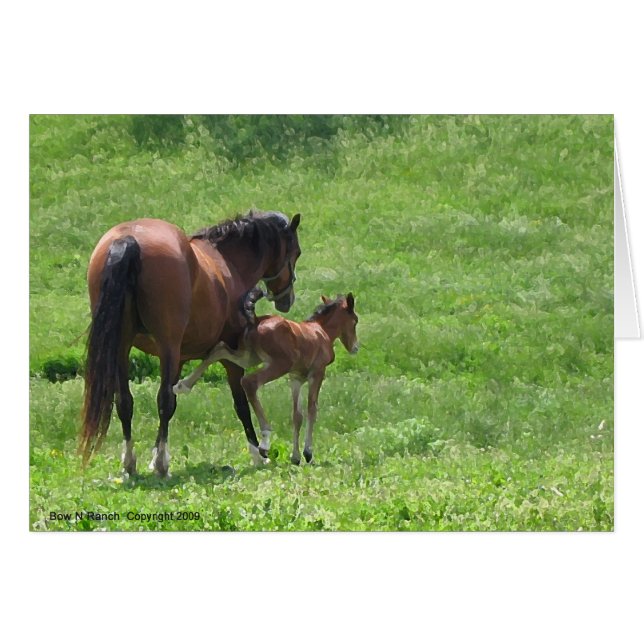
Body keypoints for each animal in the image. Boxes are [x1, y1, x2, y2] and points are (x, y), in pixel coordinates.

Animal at [80, 210, 302, 477]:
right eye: (296, 252)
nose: (287, 299)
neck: (227, 262)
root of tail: (128, 239)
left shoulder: (178, 358)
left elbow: (172, 401)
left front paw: (153, 456)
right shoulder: (230, 356)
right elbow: (240, 404)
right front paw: (257, 453)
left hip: (122, 347)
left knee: (125, 401)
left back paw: (130, 464)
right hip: (166, 345)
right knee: (162, 400)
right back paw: (162, 466)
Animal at [173, 292, 359, 465]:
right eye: (355, 321)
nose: (355, 347)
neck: (321, 331)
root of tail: (255, 321)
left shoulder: (296, 378)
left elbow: (297, 415)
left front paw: (295, 457)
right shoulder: (317, 373)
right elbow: (312, 409)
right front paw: (308, 454)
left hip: (248, 356)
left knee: (219, 349)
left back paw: (183, 385)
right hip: (278, 364)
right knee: (249, 382)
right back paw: (265, 441)